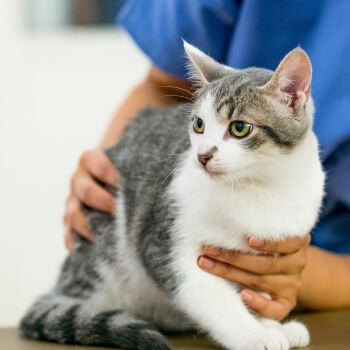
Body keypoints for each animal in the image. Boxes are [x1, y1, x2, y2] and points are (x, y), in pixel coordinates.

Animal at [19, 41, 326, 350]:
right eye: (199, 125)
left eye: (240, 128)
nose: (203, 155)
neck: (261, 186)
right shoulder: (166, 247)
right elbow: (214, 299)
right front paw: (256, 335)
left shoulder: (265, 256)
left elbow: (256, 293)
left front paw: (271, 324)